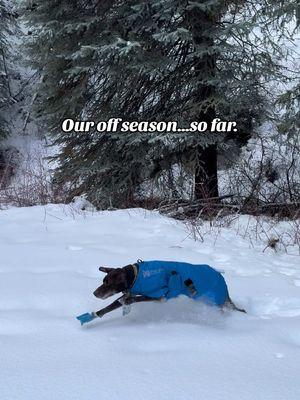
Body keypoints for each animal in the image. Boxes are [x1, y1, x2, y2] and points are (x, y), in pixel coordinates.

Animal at [77, 260, 244, 324]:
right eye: (103, 281)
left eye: (108, 283)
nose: (94, 293)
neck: (136, 275)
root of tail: (223, 282)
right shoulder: (128, 292)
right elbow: (108, 308)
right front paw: (90, 317)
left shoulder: (160, 296)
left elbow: (135, 299)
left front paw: (128, 301)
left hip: (213, 301)